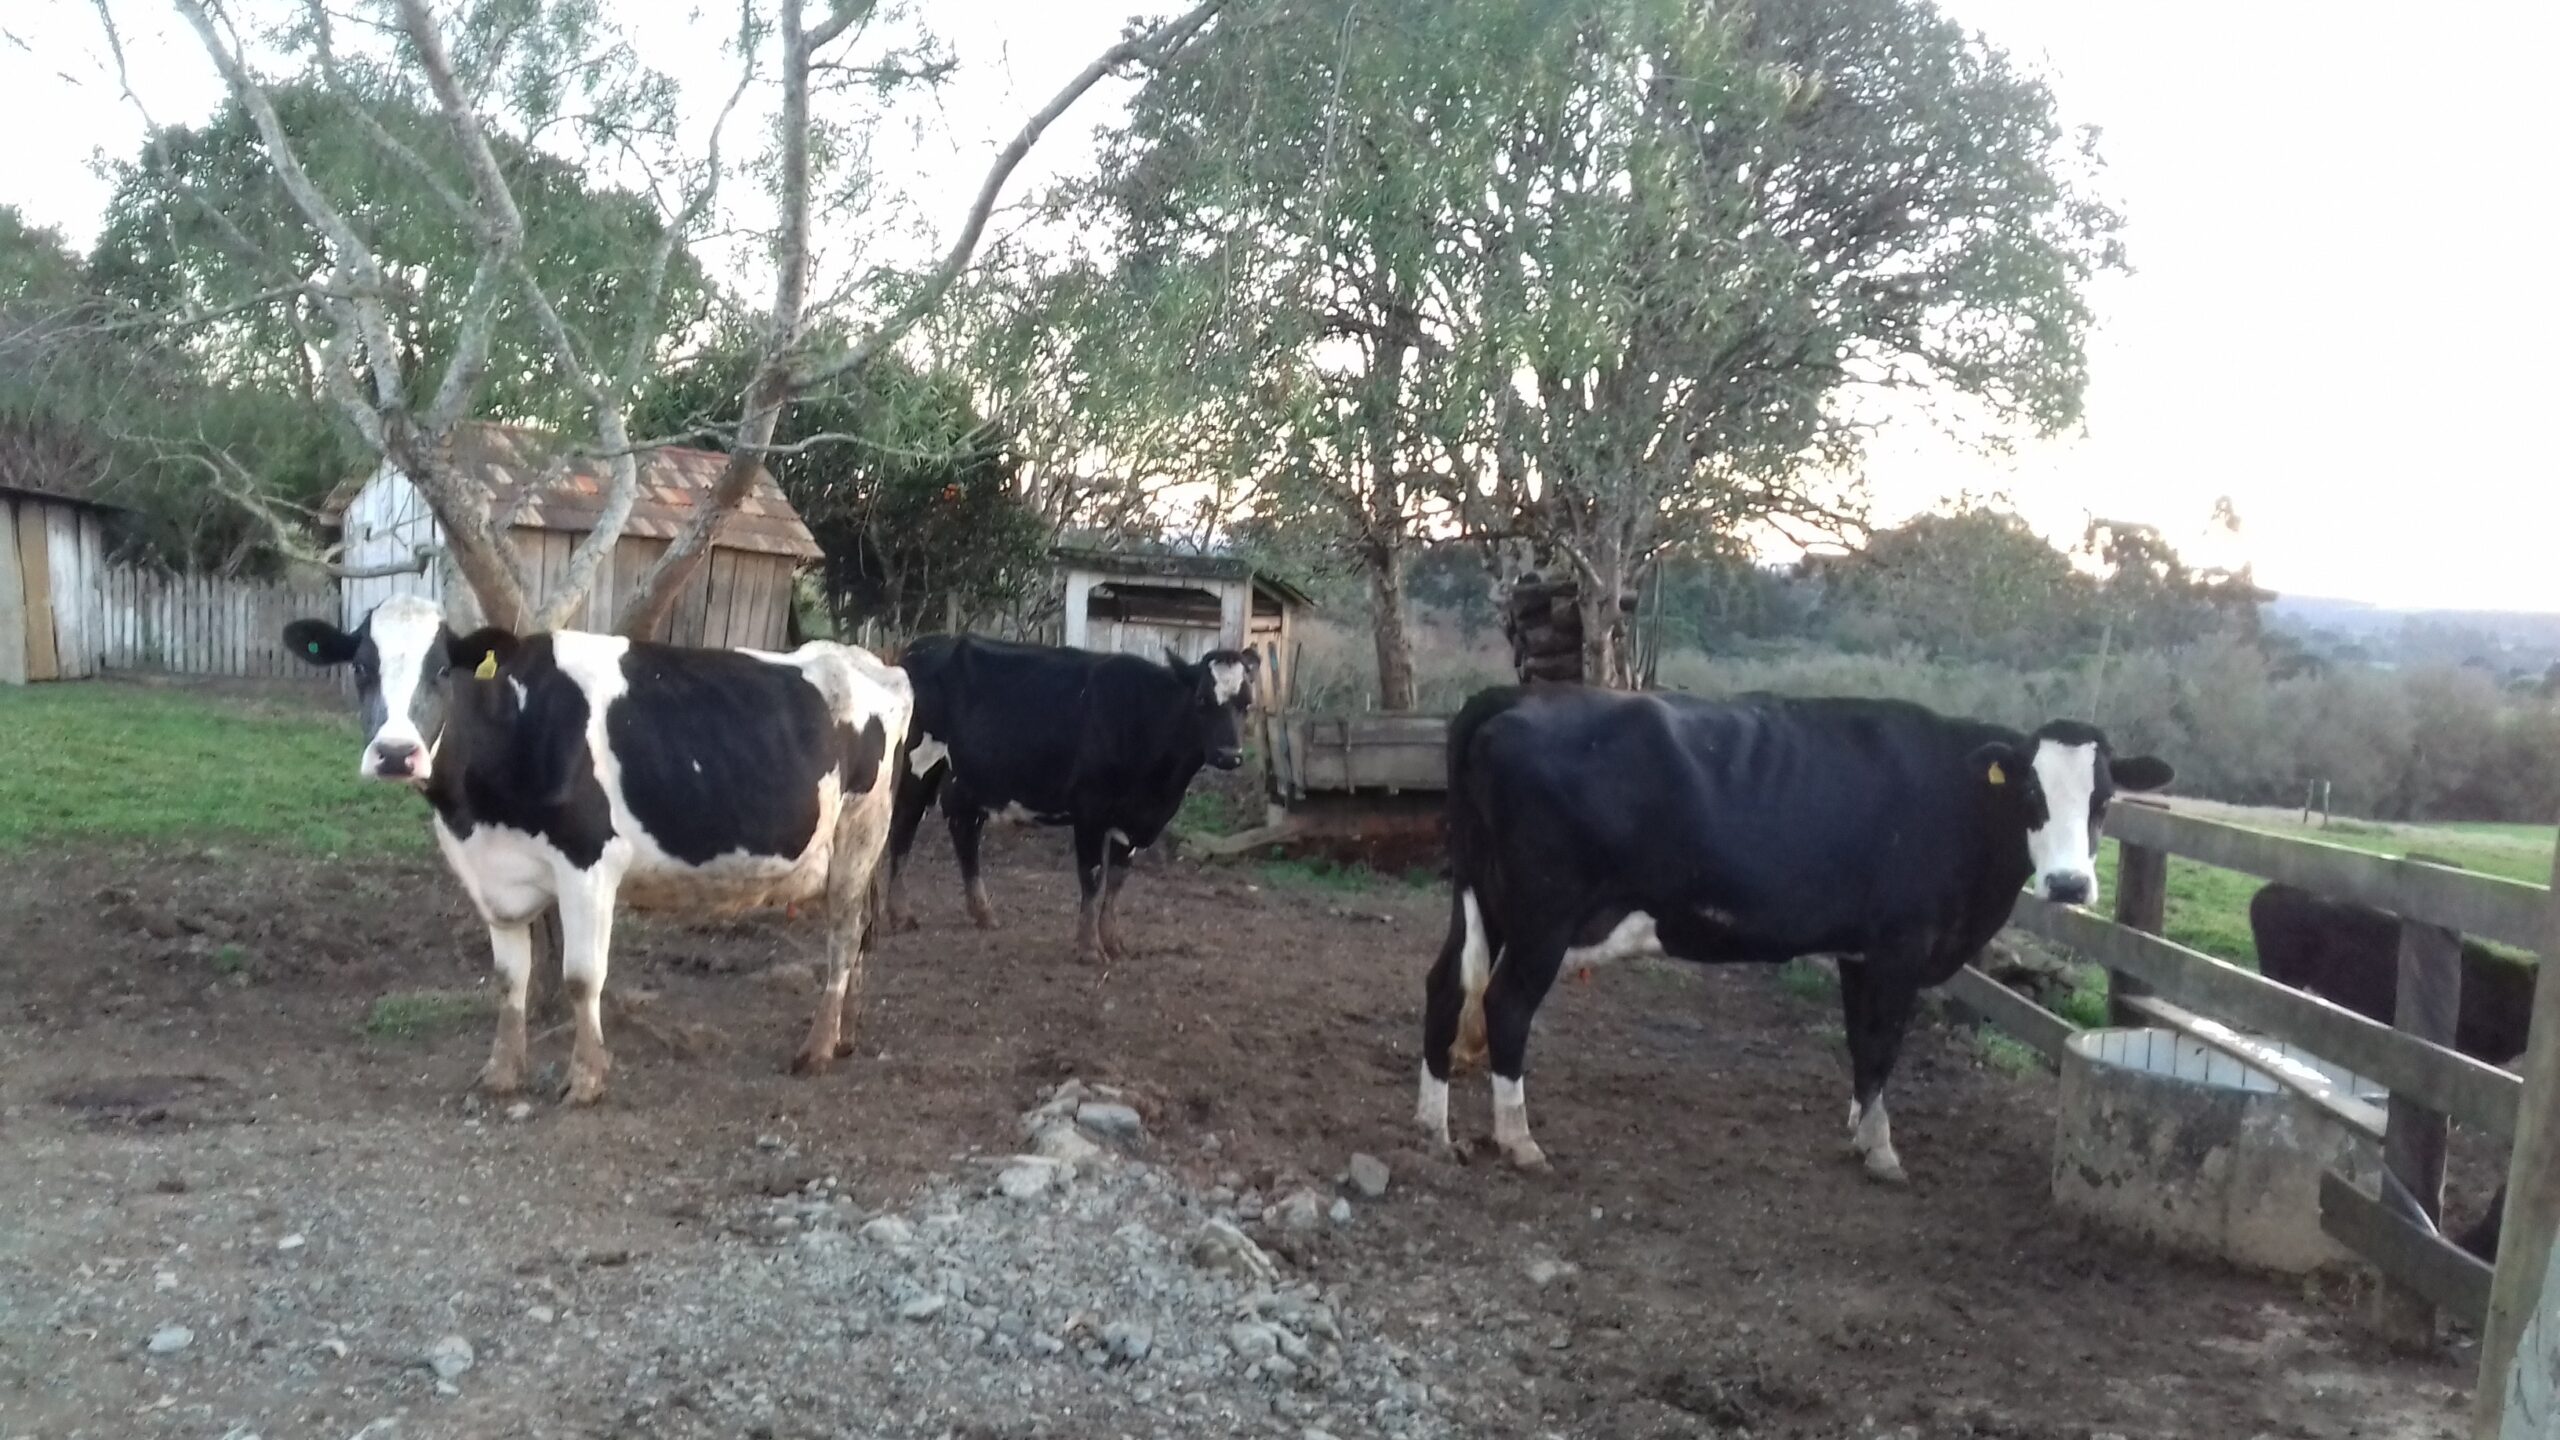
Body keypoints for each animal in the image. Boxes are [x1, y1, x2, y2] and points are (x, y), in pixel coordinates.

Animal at [288, 586, 911, 1096]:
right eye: (361, 667)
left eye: (442, 669)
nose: (396, 754)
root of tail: (868, 662)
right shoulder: (494, 876)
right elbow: (510, 980)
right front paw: (501, 1073)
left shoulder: (589, 862)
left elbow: (581, 977)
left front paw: (586, 1079)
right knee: (859, 936)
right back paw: (847, 1035)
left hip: (859, 833)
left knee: (842, 939)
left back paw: (818, 1048)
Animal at [890, 632, 1259, 958]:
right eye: (1202, 700)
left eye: (1246, 704)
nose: (1230, 756)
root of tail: (920, 646)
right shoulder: (1090, 811)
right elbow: (1093, 878)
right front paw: (1089, 947)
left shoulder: (1132, 821)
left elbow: (1117, 882)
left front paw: (1113, 942)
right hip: (918, 767)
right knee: (903, 830)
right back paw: (900, 915)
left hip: (968, 779)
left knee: (964, 831)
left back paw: (983, 913)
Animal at [1433, 681, 2170, 1178]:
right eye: (2031, 794)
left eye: (2106, 798)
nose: (2069, 885)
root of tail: (1513, 697)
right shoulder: (1901, 948)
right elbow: (1883, 1043)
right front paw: (1880, 1147)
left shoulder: (1859, 950)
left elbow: (1861, 1043)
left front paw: (1861, 1124)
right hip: (1542, 916)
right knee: (1505, 1003)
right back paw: (1518, 1140)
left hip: (1483, 899)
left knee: (1445, 984)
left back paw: (1431, 1124)